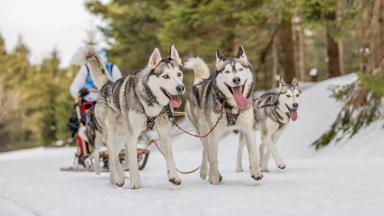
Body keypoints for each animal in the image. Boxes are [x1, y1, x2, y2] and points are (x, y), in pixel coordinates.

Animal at [74, 44, 186, 188]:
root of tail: (106, 86)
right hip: (111, 134)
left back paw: (114, 179)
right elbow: (133, 162)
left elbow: (170, 157)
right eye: (166, 76)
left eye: (179, 74)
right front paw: (136, 183)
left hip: (121, 137)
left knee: (115, 156)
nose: (180, 87)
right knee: (111, 155)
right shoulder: (132, 135)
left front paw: (174, 176)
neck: (150, 102)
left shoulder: (164, 133)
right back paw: (118, 177)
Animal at [184, 46, 262, 184]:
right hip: (203, 130)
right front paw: (214, 177)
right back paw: (206, 172)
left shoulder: (248, 129)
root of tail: (197, 84)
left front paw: (256, 172)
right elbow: (214, 158)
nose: (236, 79)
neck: (232, 107)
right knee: (207, 150)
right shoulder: (214, 133)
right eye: (227, 71)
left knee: (205, 150)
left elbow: (253, 153)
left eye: (240, 69)